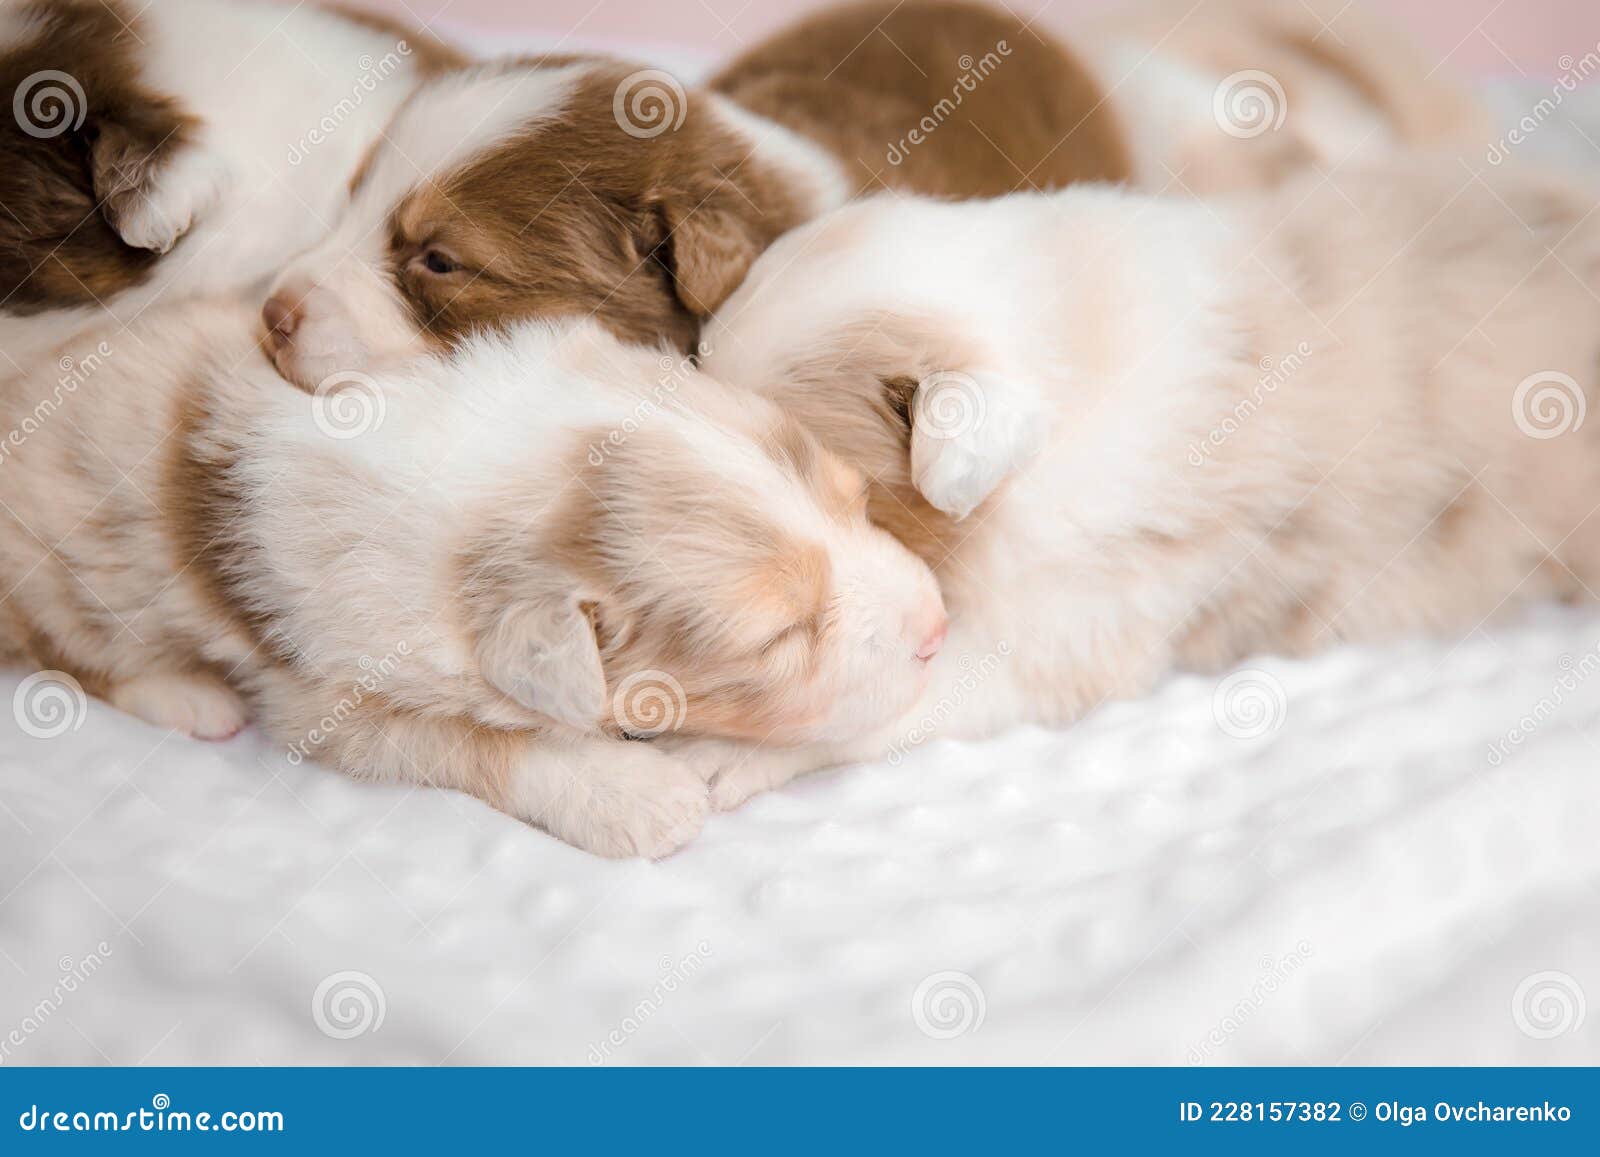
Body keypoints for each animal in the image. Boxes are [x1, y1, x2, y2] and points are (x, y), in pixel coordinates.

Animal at [0, 302, 940, 857]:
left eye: (858, 501)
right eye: (780, 634)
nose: (936, 626)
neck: (504, 476)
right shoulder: (335, 691)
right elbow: (484, 740)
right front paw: (636, 796)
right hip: (63, 571)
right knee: (66, 655)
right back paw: (187, 697)